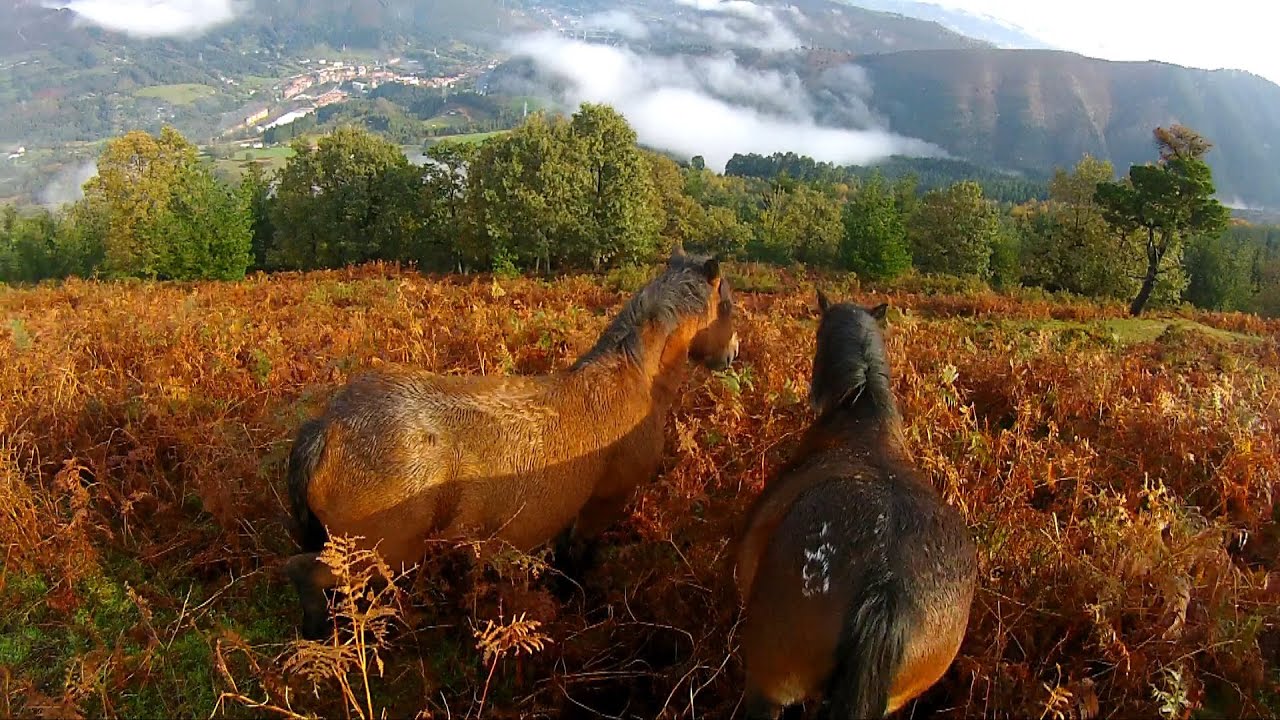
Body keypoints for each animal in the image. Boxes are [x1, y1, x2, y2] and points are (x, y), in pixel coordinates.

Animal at [283, 249, 740, 639]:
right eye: (729, 306)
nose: (732, 353)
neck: (633, 379)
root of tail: (328, 427)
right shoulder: (605, 501)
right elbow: (580, 556)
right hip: (378, 552)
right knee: (305, 574)